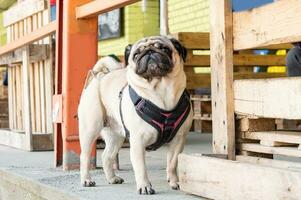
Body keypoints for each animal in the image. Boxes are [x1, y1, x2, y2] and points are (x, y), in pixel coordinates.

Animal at [77, 35, 192, 195]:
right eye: (136, 55)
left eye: (164, 49)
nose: (149, 52)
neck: (161, 90)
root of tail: (100, 76)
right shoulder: (138, 140)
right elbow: (141, 167)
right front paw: (144, 186)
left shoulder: (178, 139)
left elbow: (172, 162)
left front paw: (174, 182)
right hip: (90, 130)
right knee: (85, 156)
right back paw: (86, 180)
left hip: (116, 137)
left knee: (107, 156)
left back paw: (112, 178)